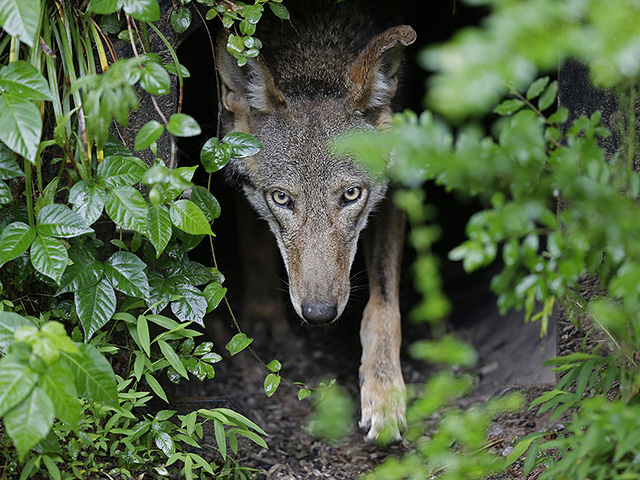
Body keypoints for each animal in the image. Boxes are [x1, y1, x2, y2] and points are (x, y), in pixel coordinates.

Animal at [215, 0, 416, 442]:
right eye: (282, 198)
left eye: (351, 195)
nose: (319, 314)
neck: (316, 45)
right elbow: (254, 247)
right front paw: (264, 317)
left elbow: (383, 303)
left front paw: (384, 391)